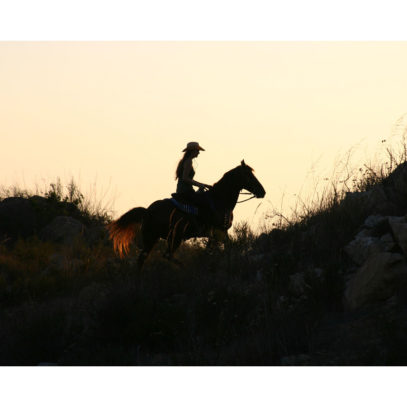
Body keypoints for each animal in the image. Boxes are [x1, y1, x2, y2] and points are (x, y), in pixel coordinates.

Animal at [107, 161, 268, 270]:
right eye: (249, 176)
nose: (262, 191)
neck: (220, 199)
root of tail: (147, 211)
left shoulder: (218, 233)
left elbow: (214, 250)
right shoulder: (219, 231)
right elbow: (224, 248)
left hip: (155, 238)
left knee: (144, 259)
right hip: (171, 237)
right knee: (165, 255)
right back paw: (183, 266)